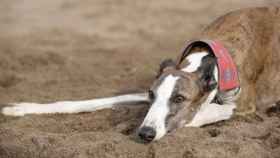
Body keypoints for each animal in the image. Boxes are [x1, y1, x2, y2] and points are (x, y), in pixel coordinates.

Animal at [2, 6, 280, 143]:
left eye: (180, 99)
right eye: (152, 95)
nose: (145, 134)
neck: (212, 57)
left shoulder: (243, 105)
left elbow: (195, 115)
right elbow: (97, 100)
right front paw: (21, 108)